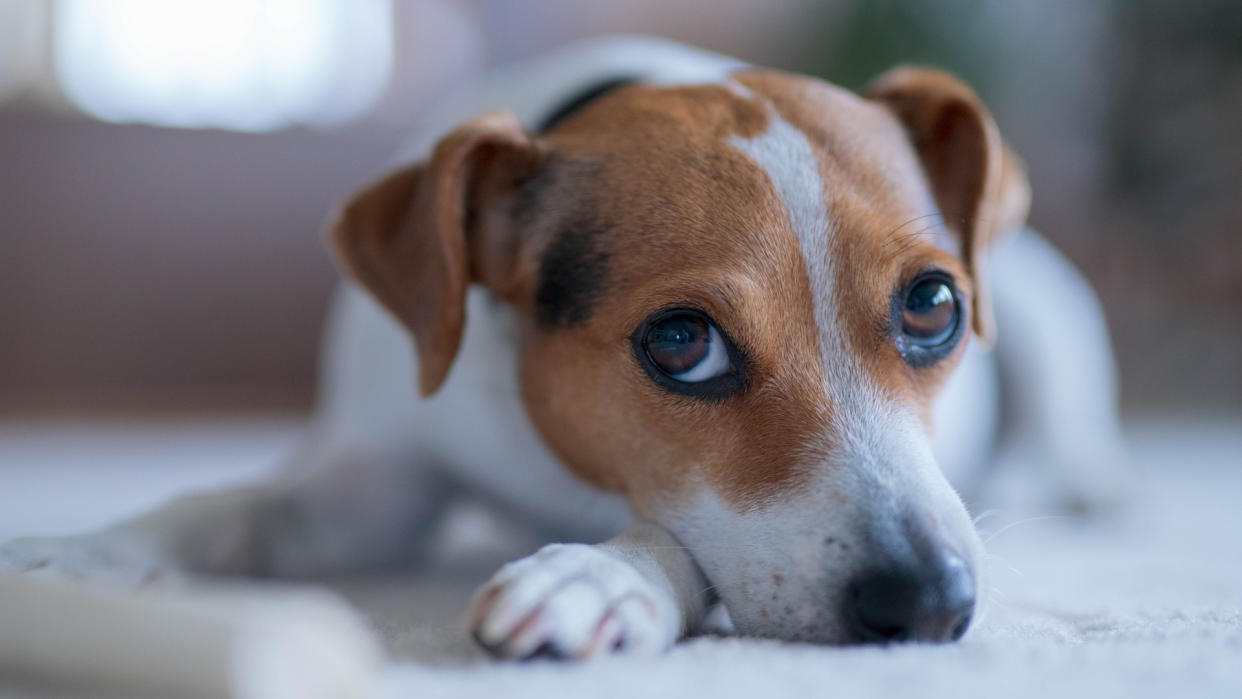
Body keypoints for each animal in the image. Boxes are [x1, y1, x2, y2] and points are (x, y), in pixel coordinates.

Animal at [0, 39, 1127, 660]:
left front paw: (594, 578)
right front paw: (84, 553)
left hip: (1049, 309)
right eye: (680, 342)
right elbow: (226, 506)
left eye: (933, 306)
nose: (932, 600)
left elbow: (673, 536)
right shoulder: (375, 487)